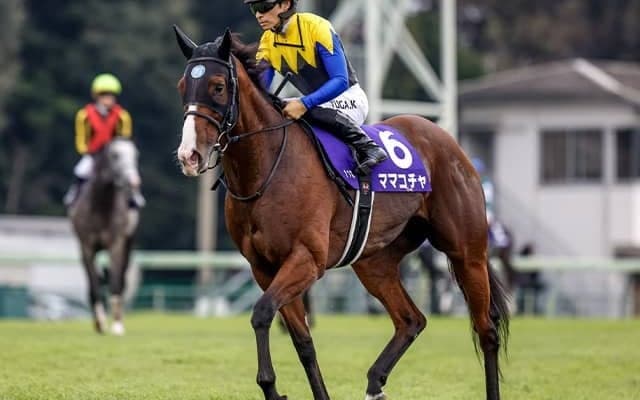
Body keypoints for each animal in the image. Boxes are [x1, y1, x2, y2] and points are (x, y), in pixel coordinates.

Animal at [68, 138, 141, 335]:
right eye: (115, 155)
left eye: (135, 154)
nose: (134, 181)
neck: (101, 205)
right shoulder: (86, 247)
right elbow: (94, 285)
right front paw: (100, 322)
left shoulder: (116, 245)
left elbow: (115, 282)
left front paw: (116, 325)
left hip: (128, 244)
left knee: (121, 280)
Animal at [173, 27, 510, 400]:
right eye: (182, 86)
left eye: (218, 86)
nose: (189, 155)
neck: (266, 168)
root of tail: (447, 141)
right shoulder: (264, 267)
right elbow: (302, 341)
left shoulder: (307, 258)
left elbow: (261, 313)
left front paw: (271, 386)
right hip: (374, 262)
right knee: (411, 320)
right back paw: (375, 382)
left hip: (467, 251)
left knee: (486, 330)